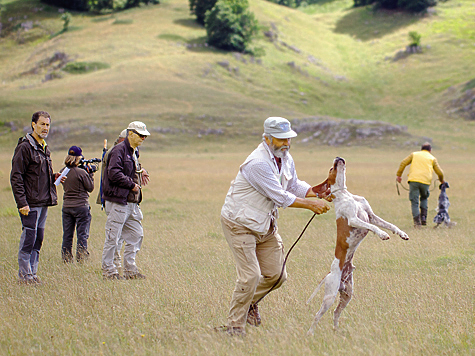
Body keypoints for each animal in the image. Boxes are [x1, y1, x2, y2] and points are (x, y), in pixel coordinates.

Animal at [308, 157, 410, 336]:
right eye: (331, 168)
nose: (337, 157)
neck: (346, 195)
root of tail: (330, 274)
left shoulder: (371, 215)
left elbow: (389, 224)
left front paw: (401, 233)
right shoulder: (354, 219)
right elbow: (374, 227)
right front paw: (382, 234)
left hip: (347, 294)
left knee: (335, 313)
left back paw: (336, 330)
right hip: (330, 296)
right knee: (317, 315)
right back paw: (310, 333)